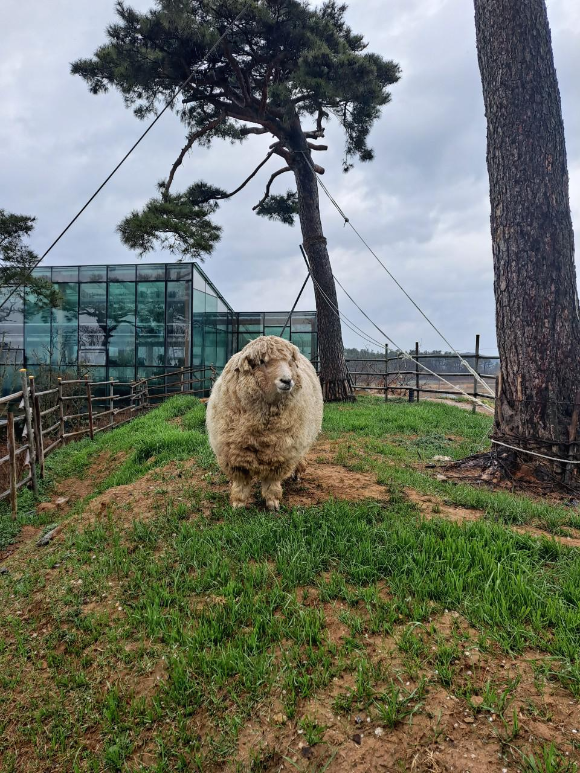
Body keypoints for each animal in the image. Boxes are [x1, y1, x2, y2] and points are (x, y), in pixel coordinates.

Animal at [205, 334, 324, 510]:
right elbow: (241, 482)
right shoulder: (234, 453)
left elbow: (271, 481)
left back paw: (296, 473)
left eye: (289, 361)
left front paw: (272, 502)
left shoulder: (280, 452)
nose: (287, 381)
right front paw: (238, 503)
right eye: (262, 361)